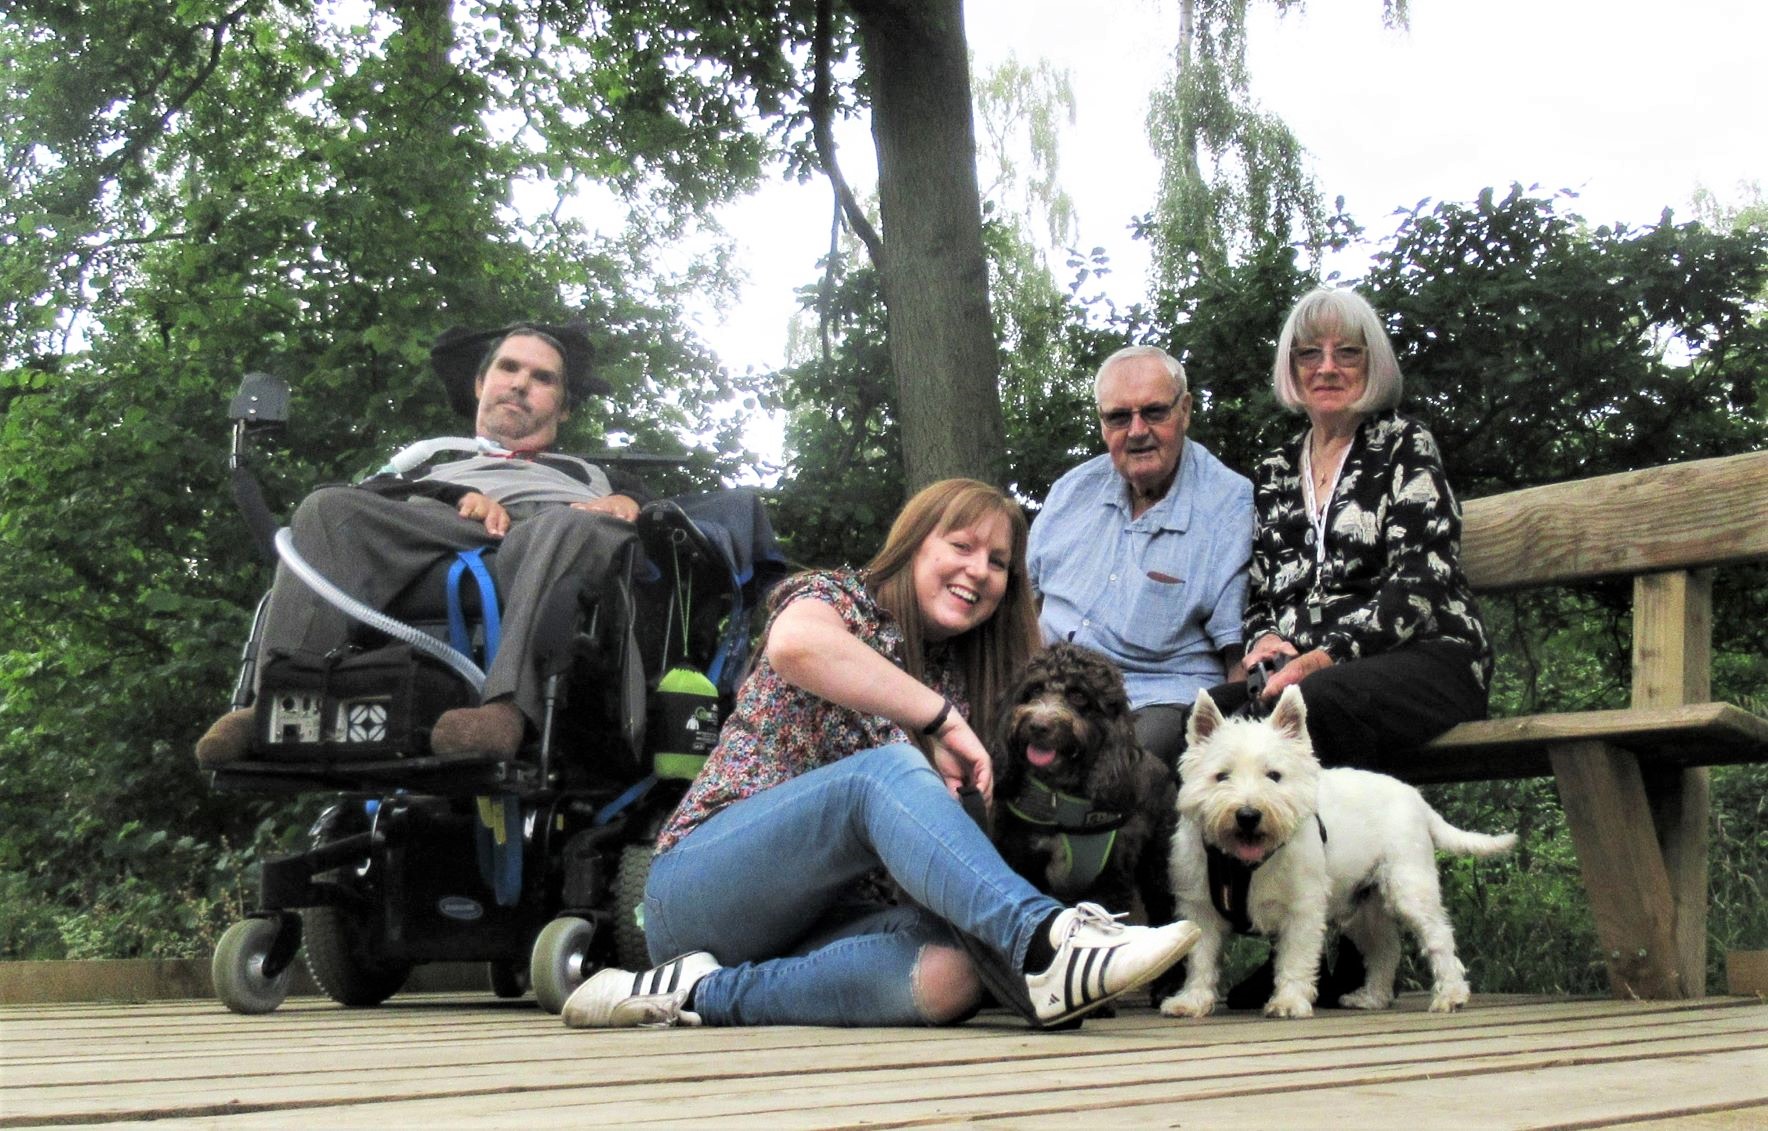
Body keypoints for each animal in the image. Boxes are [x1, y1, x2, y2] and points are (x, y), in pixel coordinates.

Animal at [997, 639, 1173, 926]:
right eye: (1034, 690)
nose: (1038, 725)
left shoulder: (1112, 882)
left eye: (1079, 696)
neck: (1061, 798)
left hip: (1159, 865)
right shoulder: (1021, 860)